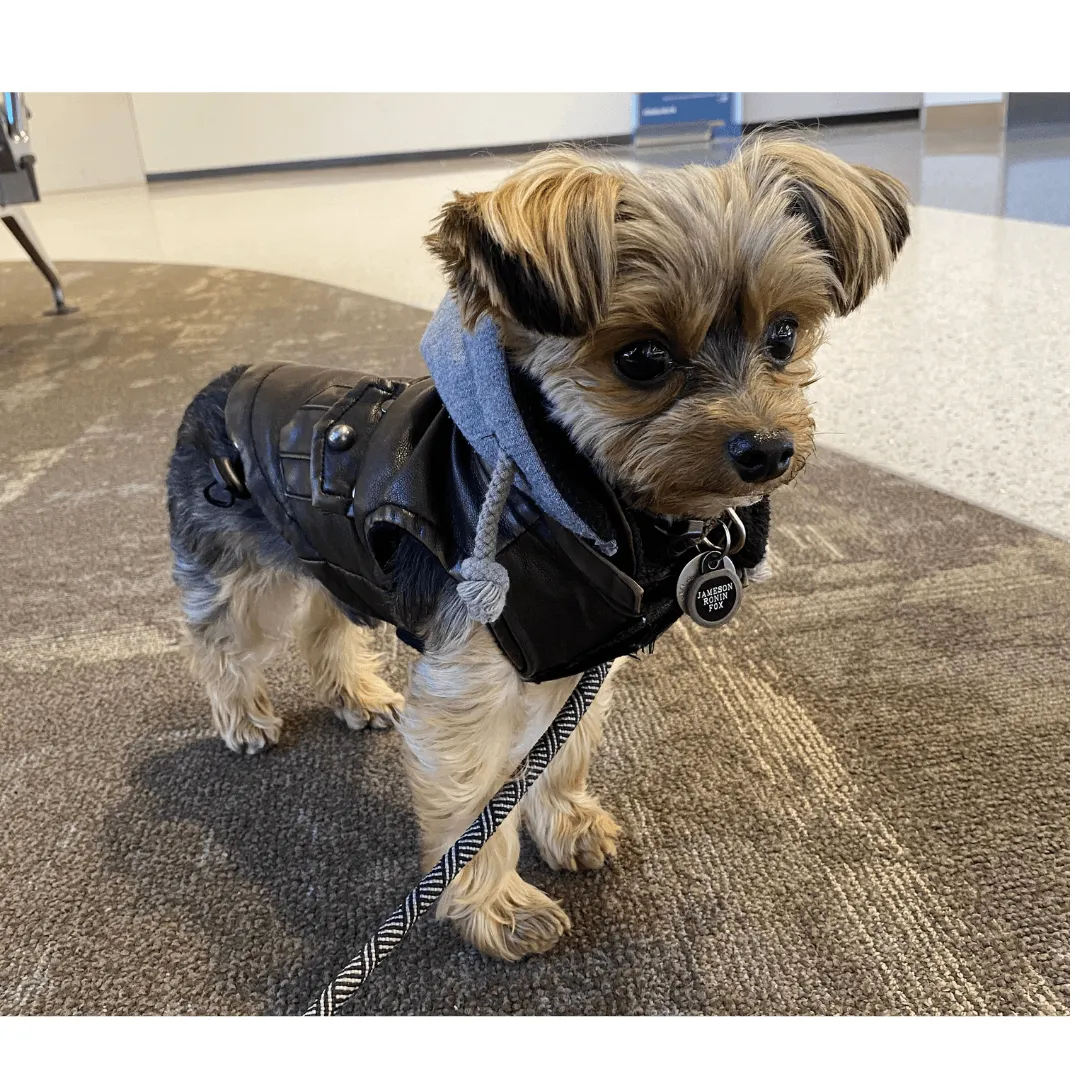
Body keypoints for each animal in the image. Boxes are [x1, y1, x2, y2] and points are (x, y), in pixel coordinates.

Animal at [166, 137, 911, 963]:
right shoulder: (473, 675)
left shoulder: (576, 656)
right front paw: (497, 906)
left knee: (324, 621)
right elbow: (474, 800)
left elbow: (561, 748)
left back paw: (356, 695)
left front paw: (569, 824)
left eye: (783, 335)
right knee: (223, 641)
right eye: (642, 358)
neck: (587, 503)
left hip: (334, 555)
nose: (769, 450)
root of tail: (220, 381)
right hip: (240, 564)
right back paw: (243, 717)